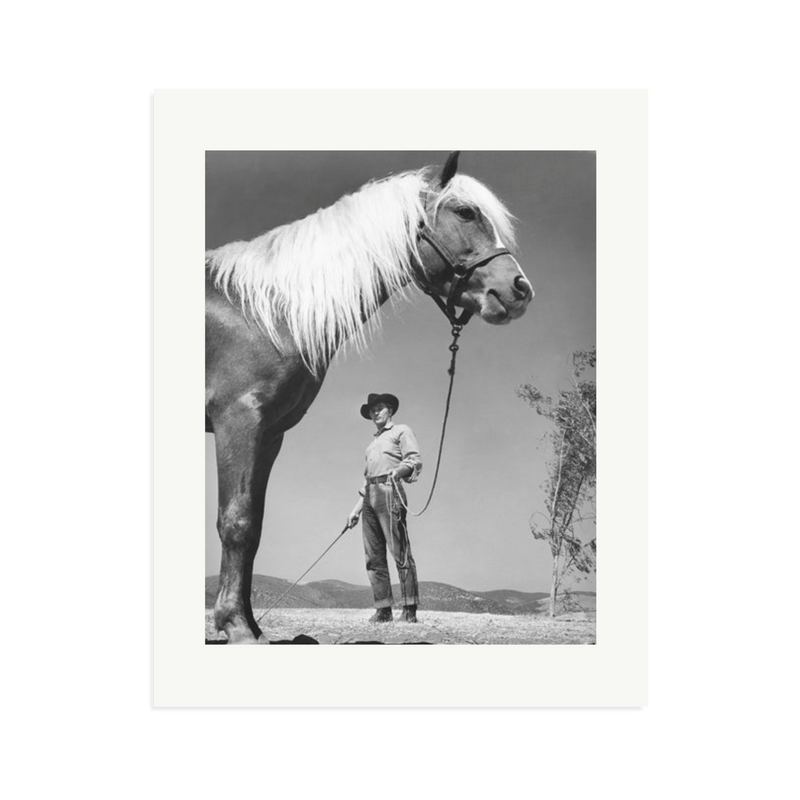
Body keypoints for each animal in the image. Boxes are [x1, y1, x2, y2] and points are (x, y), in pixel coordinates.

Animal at [205, 152, 533, 643]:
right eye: (465, 212)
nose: (519, 290)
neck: (261, 310)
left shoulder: (269, 434)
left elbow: (256, 526)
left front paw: (250, 624)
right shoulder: (237, 421)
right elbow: (237, 522)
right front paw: (236, 626)